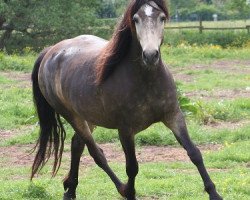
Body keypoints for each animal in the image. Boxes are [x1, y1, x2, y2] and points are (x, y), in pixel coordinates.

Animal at [30, 0, 223, 200]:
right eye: (136, 19)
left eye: (162, 17)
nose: (150, 55)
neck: (146, 80)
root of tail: (50, 52)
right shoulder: (125, 130)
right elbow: (132, 167)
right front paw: (130, 192)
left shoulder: (173, 116)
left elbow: (194, 153)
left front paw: (214, 193)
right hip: (71, 116)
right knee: (95, 152)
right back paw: (119, 188)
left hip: (88, 117)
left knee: (77, 145)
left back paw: (70, 189)